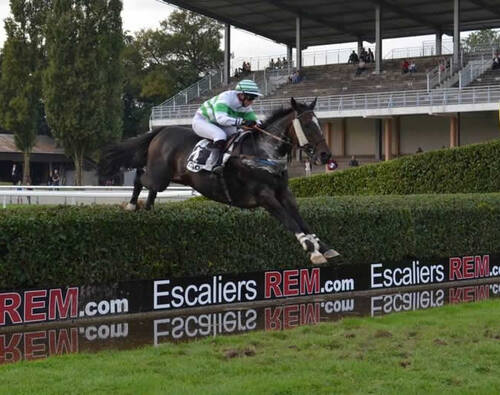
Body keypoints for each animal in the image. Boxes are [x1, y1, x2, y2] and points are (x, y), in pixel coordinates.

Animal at [98, 98, 340, 266]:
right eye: (308, 125)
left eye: (320, 124)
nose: (326, 155)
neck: (264, 153)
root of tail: (161, 130)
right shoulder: (265, 196)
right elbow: (290, 222)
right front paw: (313, 251)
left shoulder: (284, 193)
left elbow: (301, 220)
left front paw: (324, 246)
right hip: (159, 176)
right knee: (140, 177)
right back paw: (131, 205)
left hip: (169, 178)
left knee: (149, 187)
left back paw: (148, 209)